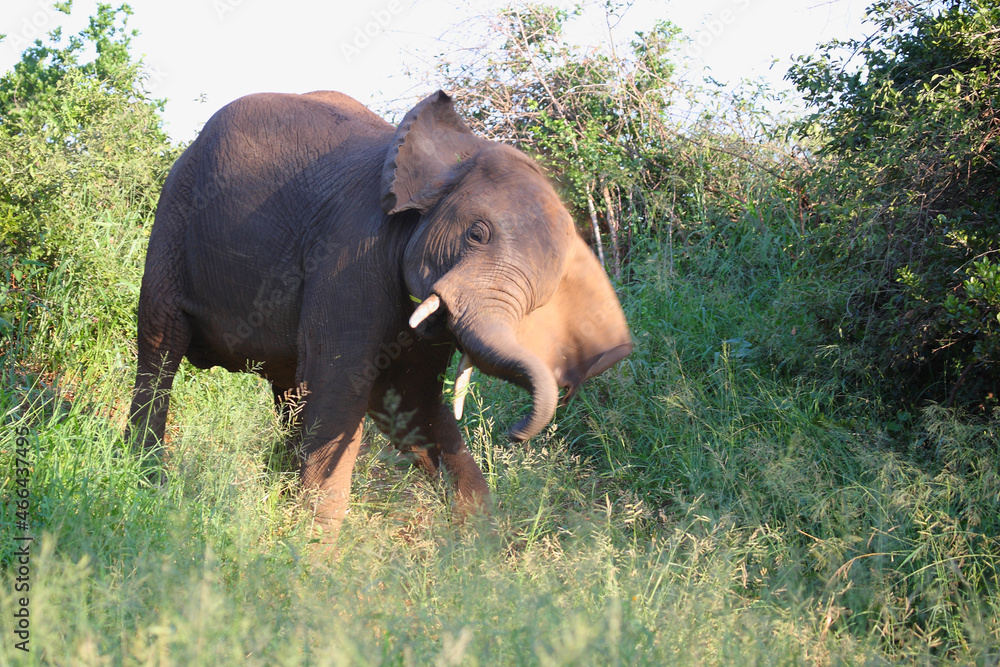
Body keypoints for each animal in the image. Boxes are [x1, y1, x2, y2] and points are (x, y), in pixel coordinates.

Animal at [127, 89, 631, 538]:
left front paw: (480, 551)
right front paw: (310, 554)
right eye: (477, 234)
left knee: (288, 387)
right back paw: (145, 480)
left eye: (540, 297)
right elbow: (339, 386)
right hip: (174, 215)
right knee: (160, 346)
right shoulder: (352, 252)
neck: (457, 157)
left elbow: (412, 401)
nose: (515, 433)